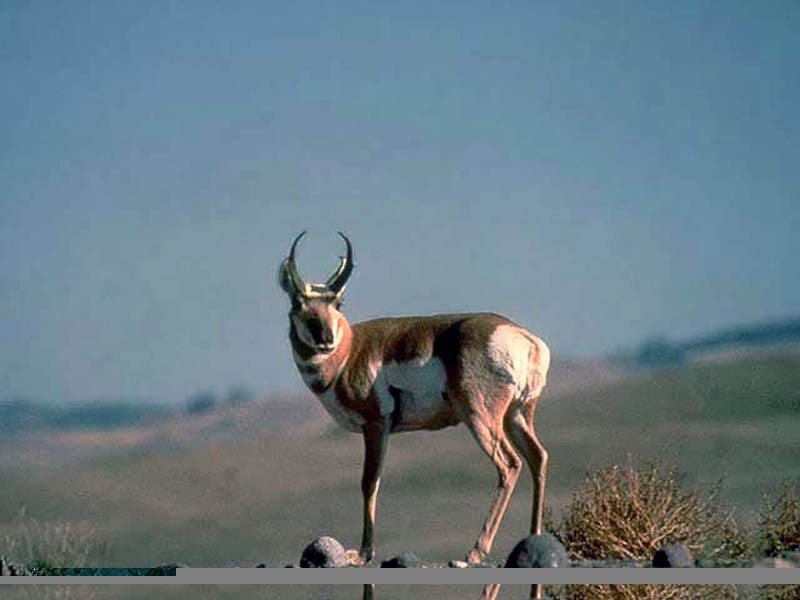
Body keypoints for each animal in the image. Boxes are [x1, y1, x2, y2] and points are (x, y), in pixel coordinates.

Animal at [278, 231, 551, 566]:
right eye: (298, 303)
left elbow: (369, 482)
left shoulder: (374, 426)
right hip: (517, 416)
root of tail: (524, 337)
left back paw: (476, 550)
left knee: (510, 464)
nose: (326, 339)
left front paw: (363, 553)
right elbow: (375, 481)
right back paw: (533, 537)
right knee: (538, 457)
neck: (349, 351)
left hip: (481, 418)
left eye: (338, 302)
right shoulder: (382, 431)